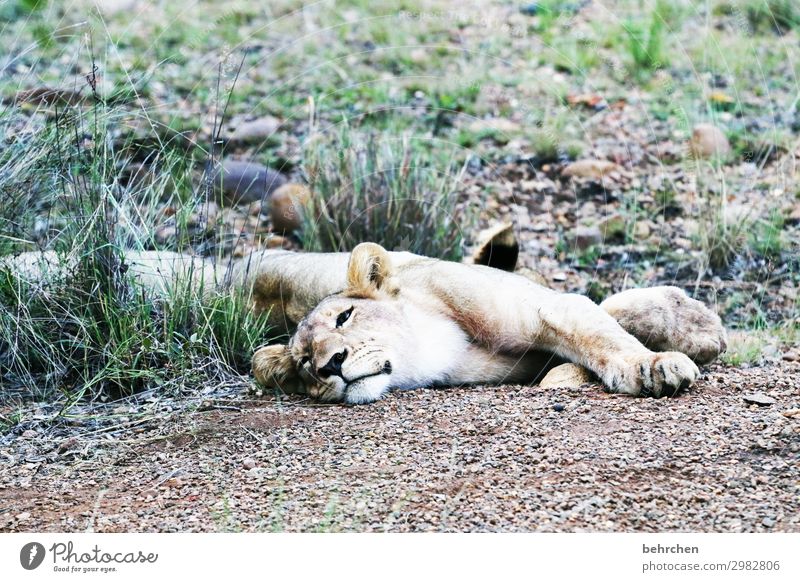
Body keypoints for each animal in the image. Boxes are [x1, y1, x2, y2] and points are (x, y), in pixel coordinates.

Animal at [245, 229, 732, 406]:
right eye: (304, 363)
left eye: (344, 317)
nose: (330, 365)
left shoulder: (541, 307)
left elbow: (604, 331)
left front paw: (655, 364)